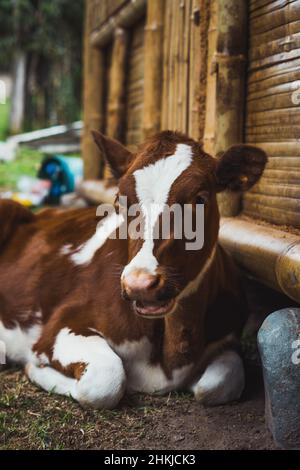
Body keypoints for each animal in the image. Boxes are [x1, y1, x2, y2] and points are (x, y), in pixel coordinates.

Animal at [0, 129, 268, 408]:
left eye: (200, 199)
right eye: (120, 201)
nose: (139, 283)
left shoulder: (228, 339)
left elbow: (219, 385)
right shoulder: (60, 327)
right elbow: (105, 380)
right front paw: (35, 368)